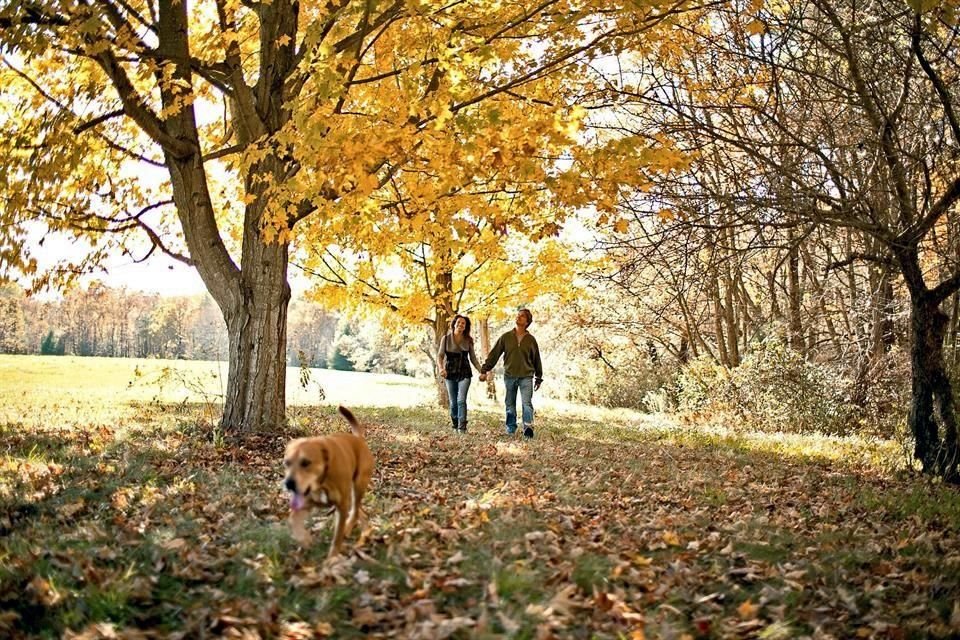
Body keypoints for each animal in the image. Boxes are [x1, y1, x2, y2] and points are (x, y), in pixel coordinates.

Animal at [284, 408, 374, 556]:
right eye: (286, 463)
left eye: (306, 463)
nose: (289, 484)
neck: (323, 480)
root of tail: (359, 439)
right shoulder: (307, 503)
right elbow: (292, 519)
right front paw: (304, 539)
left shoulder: (342, 506)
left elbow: (337, 537)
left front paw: (332, 557)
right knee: (359, 511)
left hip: (358, 486)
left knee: (355, 510)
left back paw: (350, 528)